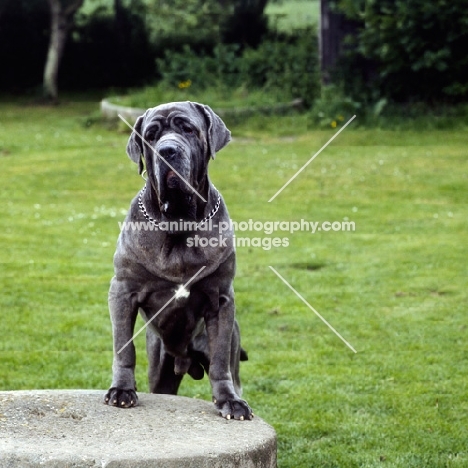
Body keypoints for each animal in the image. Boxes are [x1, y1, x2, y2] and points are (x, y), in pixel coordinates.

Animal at [104, 101, 254, 420]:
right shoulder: (122, 291)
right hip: (161, 366)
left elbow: (220, 359)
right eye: (150, 135)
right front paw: (122, 390)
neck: (179, 222)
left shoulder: (221, 299)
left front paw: (229, 401)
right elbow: (124, 347)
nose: (167, 151)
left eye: (188, 128)